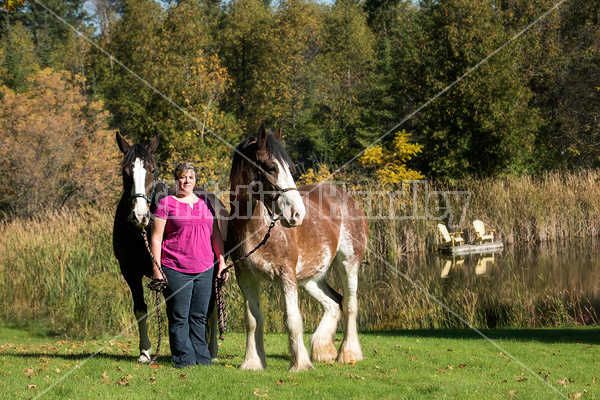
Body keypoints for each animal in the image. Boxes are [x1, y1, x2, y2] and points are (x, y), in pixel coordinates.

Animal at [229, 126, 368, 372]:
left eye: (290, 168)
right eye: (271, 168)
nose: (296, 214)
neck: (253, 229)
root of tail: (347, 198)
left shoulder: (286, 274)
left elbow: (293, 320)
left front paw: (300, 364)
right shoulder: (245, 277)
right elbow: (253, 320)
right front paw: (252, 362)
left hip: (348, 263)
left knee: (350, 304)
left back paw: (348, 353)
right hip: (310, 277)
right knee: (333, 303)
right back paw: (323, 349)